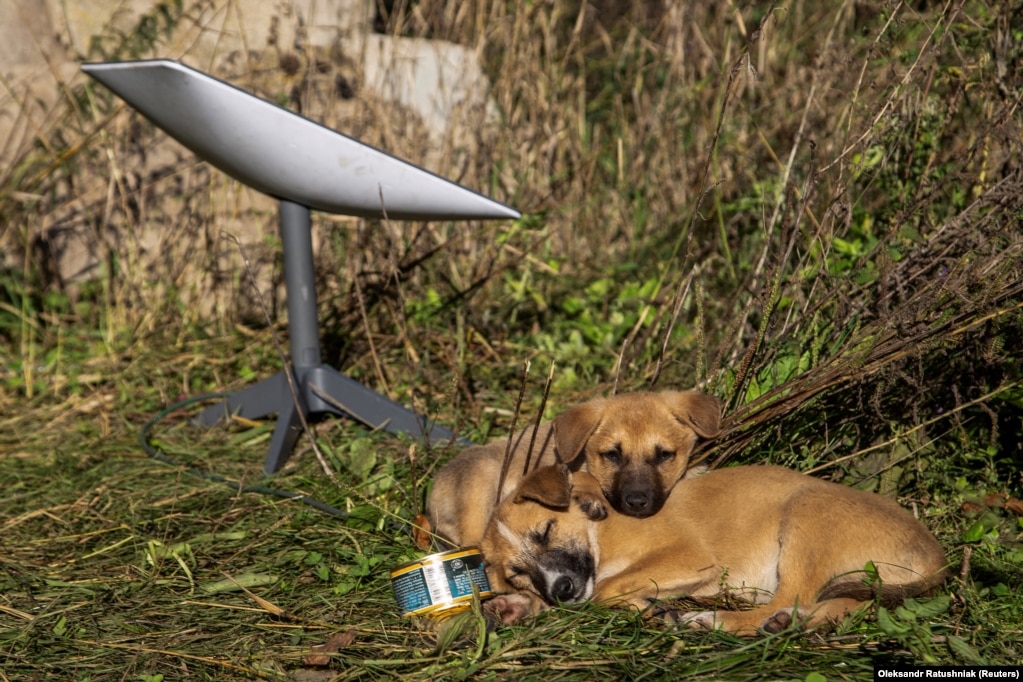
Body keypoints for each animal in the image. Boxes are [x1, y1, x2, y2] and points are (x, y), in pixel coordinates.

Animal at [423, 392, 720, 548]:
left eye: (663, 455)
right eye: (612, 455)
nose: (636, 502)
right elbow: (584, 475)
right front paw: (590, 496)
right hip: (482, 477)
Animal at [478, 464, 949, 633]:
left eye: (546, 530)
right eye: (517, 573)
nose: (559, 589)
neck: (601, 534)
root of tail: (937, 555)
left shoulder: (688, 556)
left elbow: (606, 590)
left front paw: (651, 609)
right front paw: (514, 606)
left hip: (805, 511)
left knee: (790, 597)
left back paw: (719, 620)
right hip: (851, 580)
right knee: (840, 605)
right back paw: (786, 624)